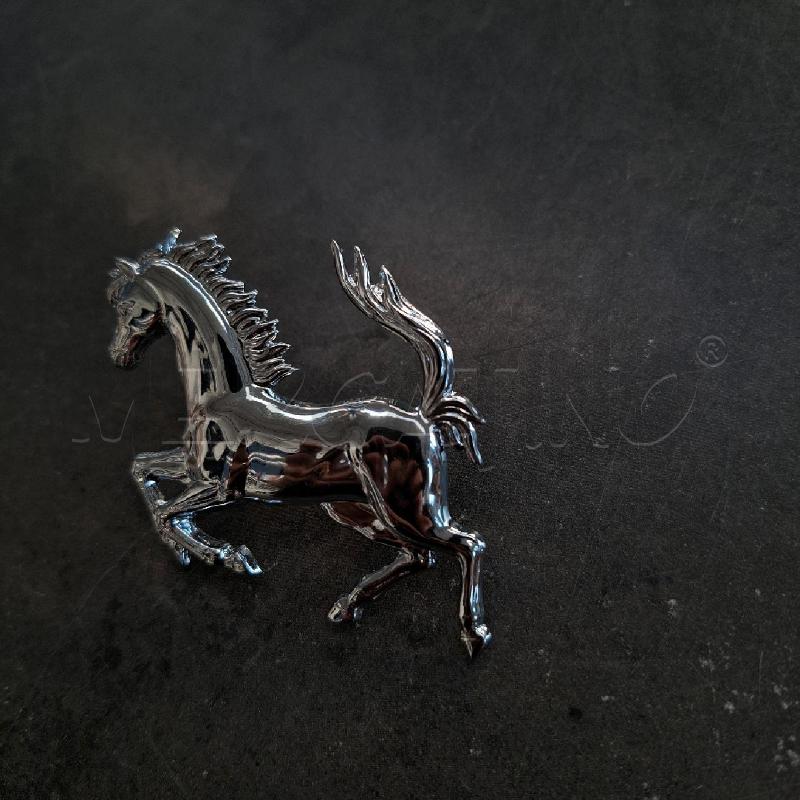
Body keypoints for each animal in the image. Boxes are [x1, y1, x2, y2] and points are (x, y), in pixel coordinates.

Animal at [107, 230, 491, 656]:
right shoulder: (192, 469)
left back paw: (474, 632)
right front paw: (202, 552)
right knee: (419, 557)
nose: (117, 356)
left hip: (409, 506)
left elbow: (166, 512)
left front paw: (226, 556)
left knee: (468, 544)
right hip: (353, 508)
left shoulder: (220, 487)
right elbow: (142, 469)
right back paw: (346, 606)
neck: (218, 395)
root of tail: (424, 418)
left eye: (128, 306)